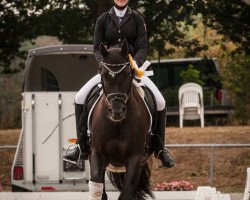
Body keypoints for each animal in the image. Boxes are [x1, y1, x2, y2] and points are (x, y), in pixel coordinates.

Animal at [88, 39, 154, 200]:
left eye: (127, 74)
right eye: (104, 75)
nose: (116, 112)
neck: (117, 124)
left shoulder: (134, 158)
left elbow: (126, 193)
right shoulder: (97, 154)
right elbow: (97, 189)